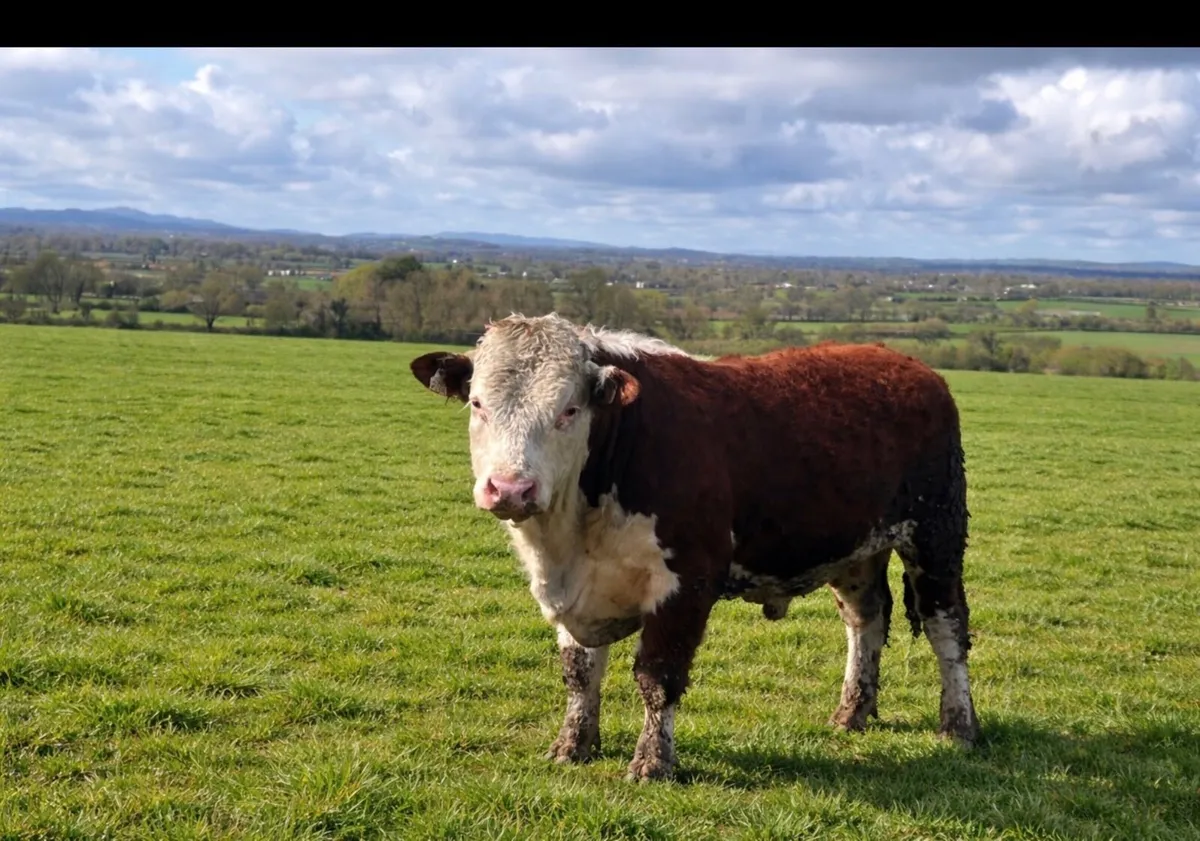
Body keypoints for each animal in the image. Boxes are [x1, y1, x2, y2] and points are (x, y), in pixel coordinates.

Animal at [410, 312, 979, 782]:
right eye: (478, 404)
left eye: (568, 410)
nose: (510, 488)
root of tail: (902, 362)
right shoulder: (577, 591)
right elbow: (580, 675)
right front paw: (572, 746)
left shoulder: (687, 582)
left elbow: (657, 676)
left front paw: (652, 762)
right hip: (856, 550)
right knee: (866, 621)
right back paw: (851, 713)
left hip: (936, 534)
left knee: (946, 627)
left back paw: (958, 725)